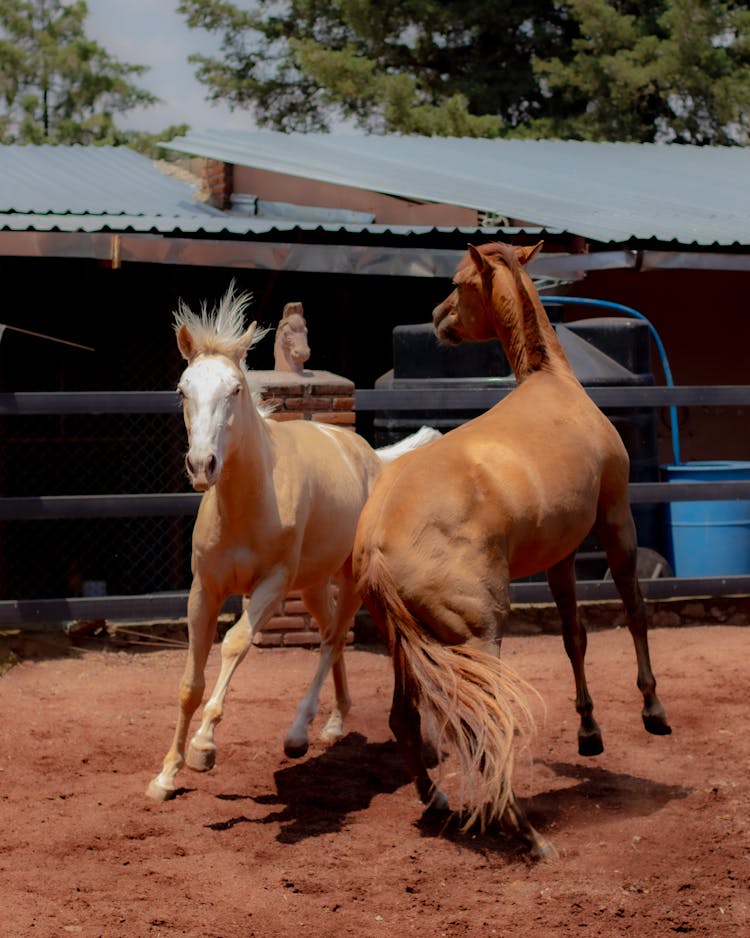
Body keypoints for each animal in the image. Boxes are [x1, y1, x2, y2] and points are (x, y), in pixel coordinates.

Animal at [148, 284, 440, 796]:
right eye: (182, 389)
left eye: (235, 389)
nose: (202, 465)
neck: (248, 506)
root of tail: (372, 458)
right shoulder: (204, 590)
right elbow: (190, 682)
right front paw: (166, 774)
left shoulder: (272, 586)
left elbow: (235, 644)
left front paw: (204, 747)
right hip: (314, 585)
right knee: (330, 636)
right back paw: (334, 723)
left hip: (353, 582)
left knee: (334, 639)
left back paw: (300, 734)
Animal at [356, 239, 672, 856]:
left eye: (458, 283)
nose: (437, 317)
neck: (553, 383)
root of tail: (378, 541)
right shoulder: (616, 520)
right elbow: (634, 611)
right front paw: (653, 710)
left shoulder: (562, 555)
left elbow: (574, 636)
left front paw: (590, 731)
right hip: (479, 638)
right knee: (484, 731)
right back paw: (524, 832)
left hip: (404, 645)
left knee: (404, 721)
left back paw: (437, 800)